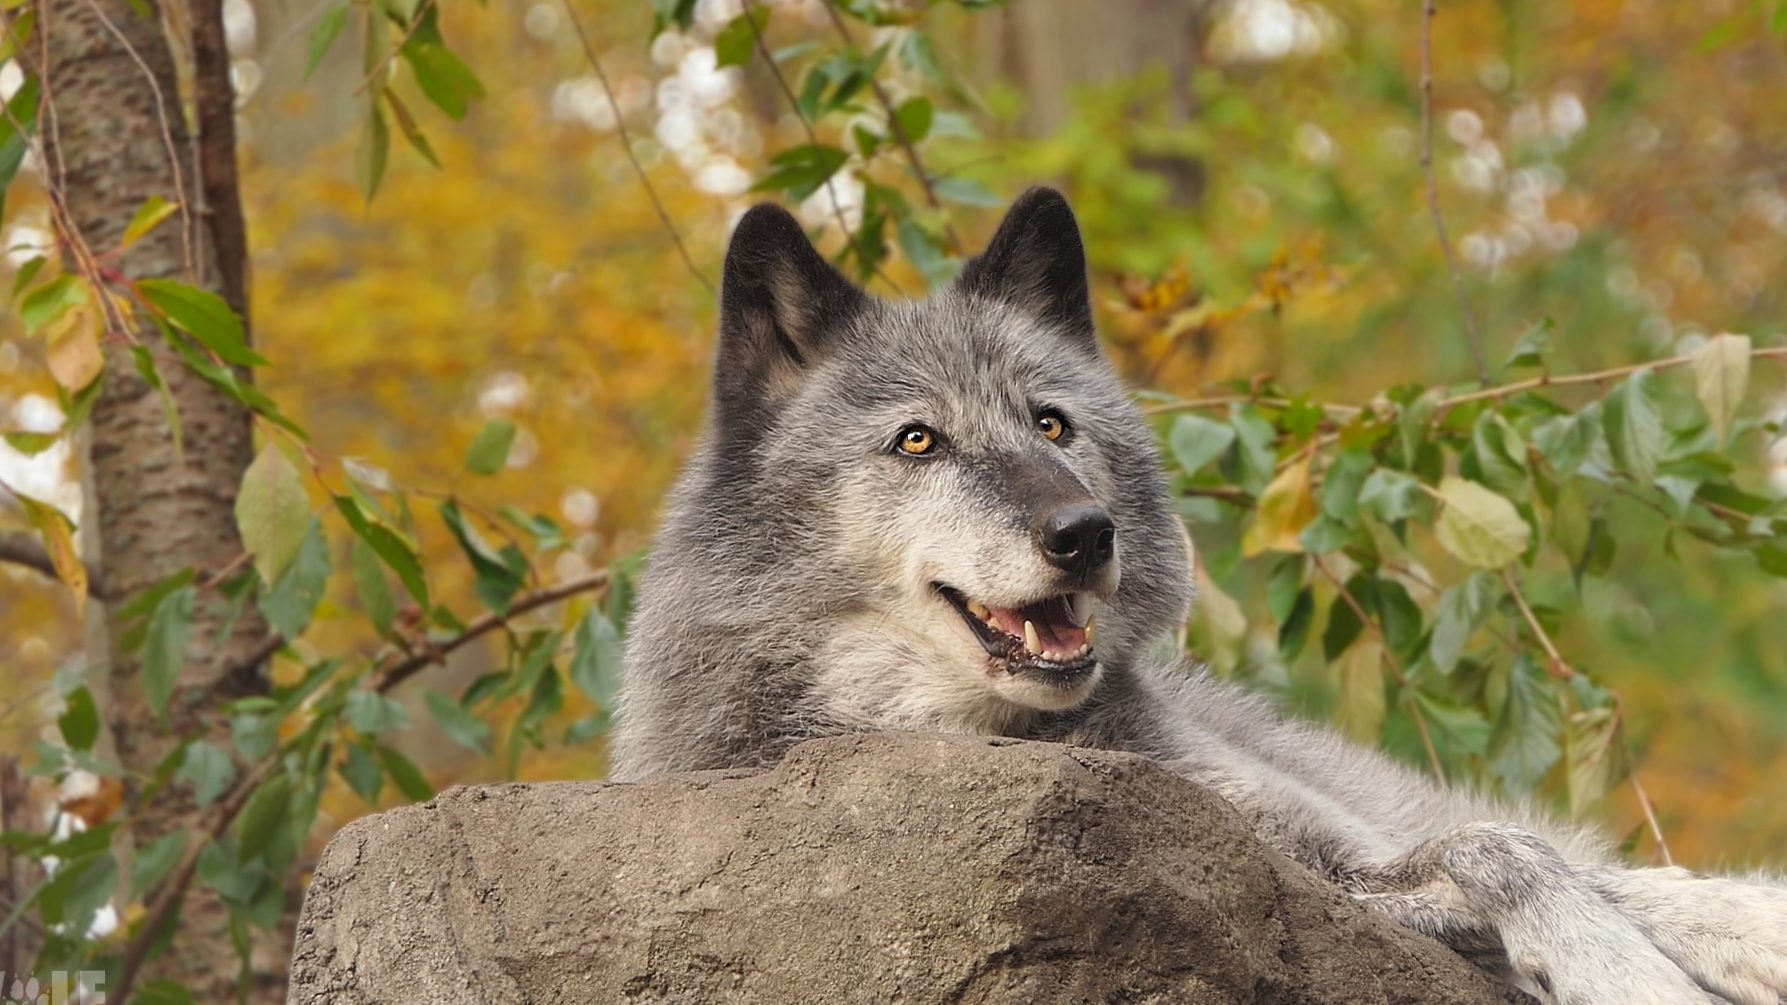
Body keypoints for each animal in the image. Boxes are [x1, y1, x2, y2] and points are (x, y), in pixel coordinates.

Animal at [610, 188, 1787, 1004]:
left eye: (1050, 424)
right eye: (916, 441)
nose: (1086, 532)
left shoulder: (1315, 850)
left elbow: (1528, 852)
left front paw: (1681, 947)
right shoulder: (1300, 878)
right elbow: (1498, 853)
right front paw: (1626, 974)